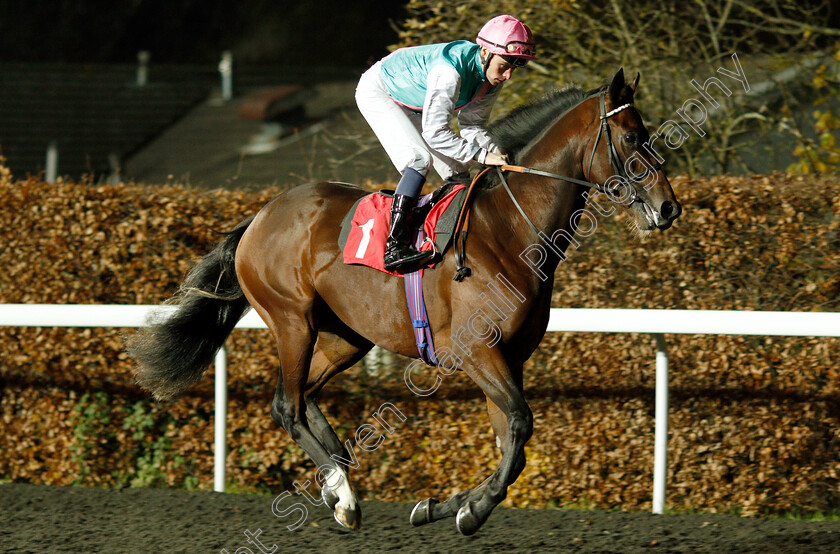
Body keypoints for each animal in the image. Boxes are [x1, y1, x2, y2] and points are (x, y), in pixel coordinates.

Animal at [130, 67, 684, 532]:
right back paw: (343, 496)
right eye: (632, 137)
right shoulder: (476, 351)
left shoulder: (510, 357)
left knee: (302, 399)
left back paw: (338, 487)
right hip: (293, 321)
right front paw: (471, 511)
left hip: (344, 337)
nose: (668, 208)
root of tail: (260, 216)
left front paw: (445, 506)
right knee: (288, 405)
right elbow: (520, 426)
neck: (509, 229)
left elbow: (514, 445)